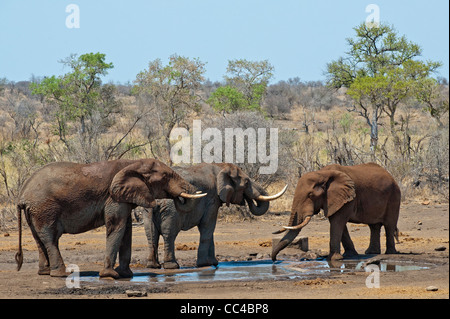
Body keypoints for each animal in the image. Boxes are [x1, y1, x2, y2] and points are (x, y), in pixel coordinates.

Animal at [14, 159, 206, 278]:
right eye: (166, 177)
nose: (179, 196)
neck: (132, 163)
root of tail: (22, 195)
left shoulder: (124, 198)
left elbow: (126, 230)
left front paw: (126, 274)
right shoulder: (113, 197)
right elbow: (117, 227)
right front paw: (111, 275)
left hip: (35, 211)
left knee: (39, 239)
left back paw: (45, 273)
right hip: (44, 209)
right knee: (51, 238)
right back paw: (62, 274)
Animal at [142, 162, 286, 270]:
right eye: (246, 183)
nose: (247, 200)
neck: (220, 166)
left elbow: (209, 229)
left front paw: (214, 263)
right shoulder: (211, 198)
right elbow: (208, 226)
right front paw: (204, 264)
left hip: (148, 210)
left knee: (151, 234)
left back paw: (153, 266)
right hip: (171, 209)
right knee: (169, 233)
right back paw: (172, 266)